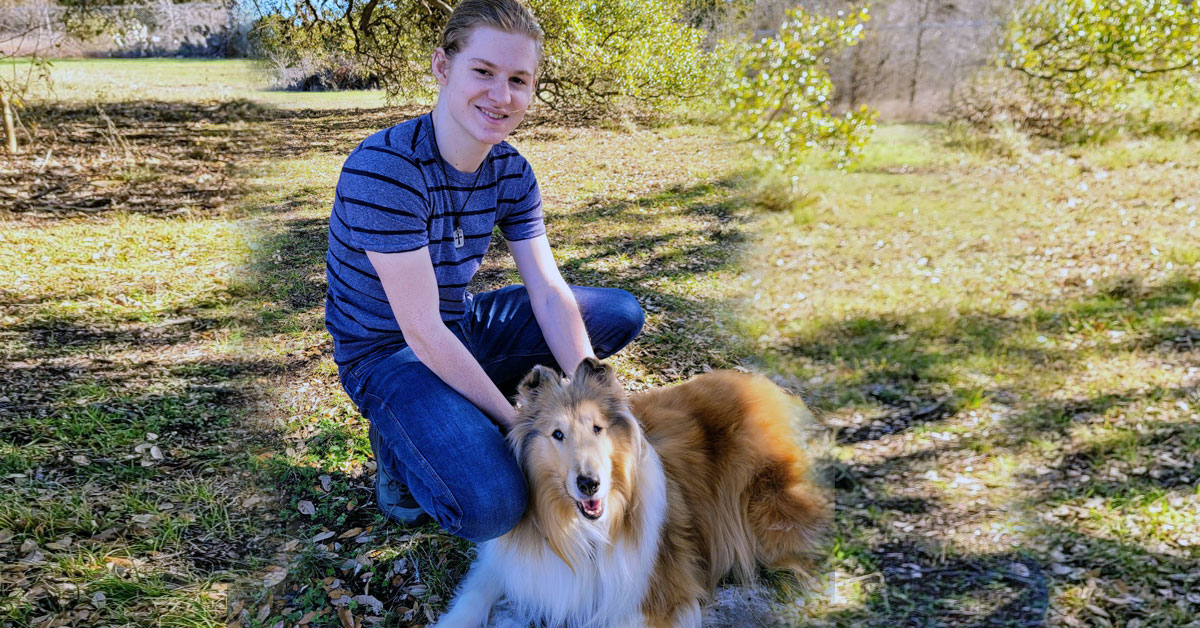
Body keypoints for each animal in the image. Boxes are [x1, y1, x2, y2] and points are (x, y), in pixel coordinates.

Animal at [436, 357, 830, 628]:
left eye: (597, 428)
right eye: (557, 434)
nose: (589, 484)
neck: (581, 531)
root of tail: (776, 392)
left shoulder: (662, 594)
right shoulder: (511, 560)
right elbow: (476, 592)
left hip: (769, 514)